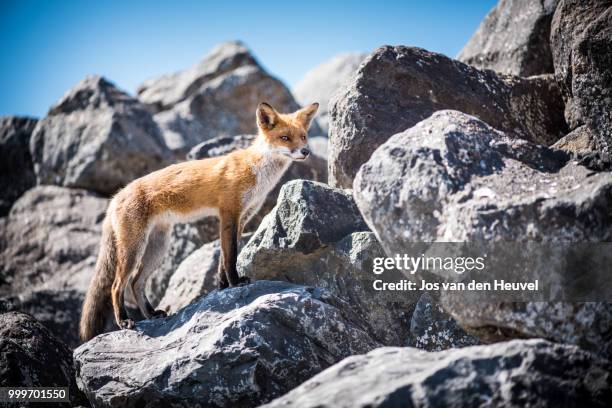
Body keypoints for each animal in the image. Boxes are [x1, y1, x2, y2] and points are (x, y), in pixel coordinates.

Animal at [80, 102, 320, 342]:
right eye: (285, 138)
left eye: (303, 136)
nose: (305, 152)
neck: (256, 171)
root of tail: (115, 197)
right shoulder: (229, 214)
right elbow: (230, 257)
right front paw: (235, 283)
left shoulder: (243, 218)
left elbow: (223, 259)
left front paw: (223, 287)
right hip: (134, 249)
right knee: (116, 286)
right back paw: (124, 321)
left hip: (158, 247)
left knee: (135, 282)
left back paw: (150, 314)